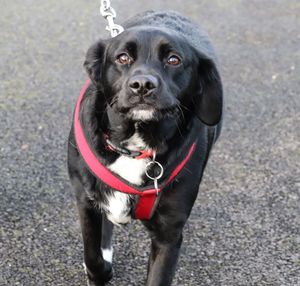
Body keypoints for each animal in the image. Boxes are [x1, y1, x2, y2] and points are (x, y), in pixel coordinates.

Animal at [68, 10, 223, 284]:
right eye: (122, 57)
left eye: (174, 59)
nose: (142, 85)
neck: (136, 145)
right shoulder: (85, 201)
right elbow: (92, 256)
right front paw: (101, 270)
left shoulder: (169, 233)